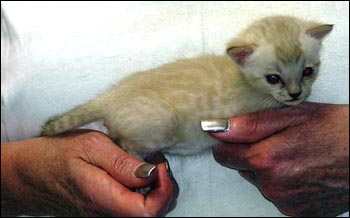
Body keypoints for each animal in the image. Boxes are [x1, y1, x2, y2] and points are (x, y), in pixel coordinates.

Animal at [40, 15, 330, 158]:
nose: (296, 93)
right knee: (123, 142)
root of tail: (111, 95)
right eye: (273, 78)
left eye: (308, 71)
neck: (243, 79)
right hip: (160, 126)